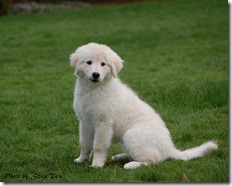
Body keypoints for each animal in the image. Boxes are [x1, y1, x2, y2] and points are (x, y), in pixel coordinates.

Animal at [69, 42, 218, 170]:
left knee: (155, 160)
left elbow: (98, 146)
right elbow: (85, 143)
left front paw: (97, 164)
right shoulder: (84, 122)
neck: (93, 89)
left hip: (132, 136)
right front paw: (81, 159)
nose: (96, 75)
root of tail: (169, 148)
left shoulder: (103, 123)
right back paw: (121, 157)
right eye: (89, 62)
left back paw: (131, 165)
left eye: (103, 64)